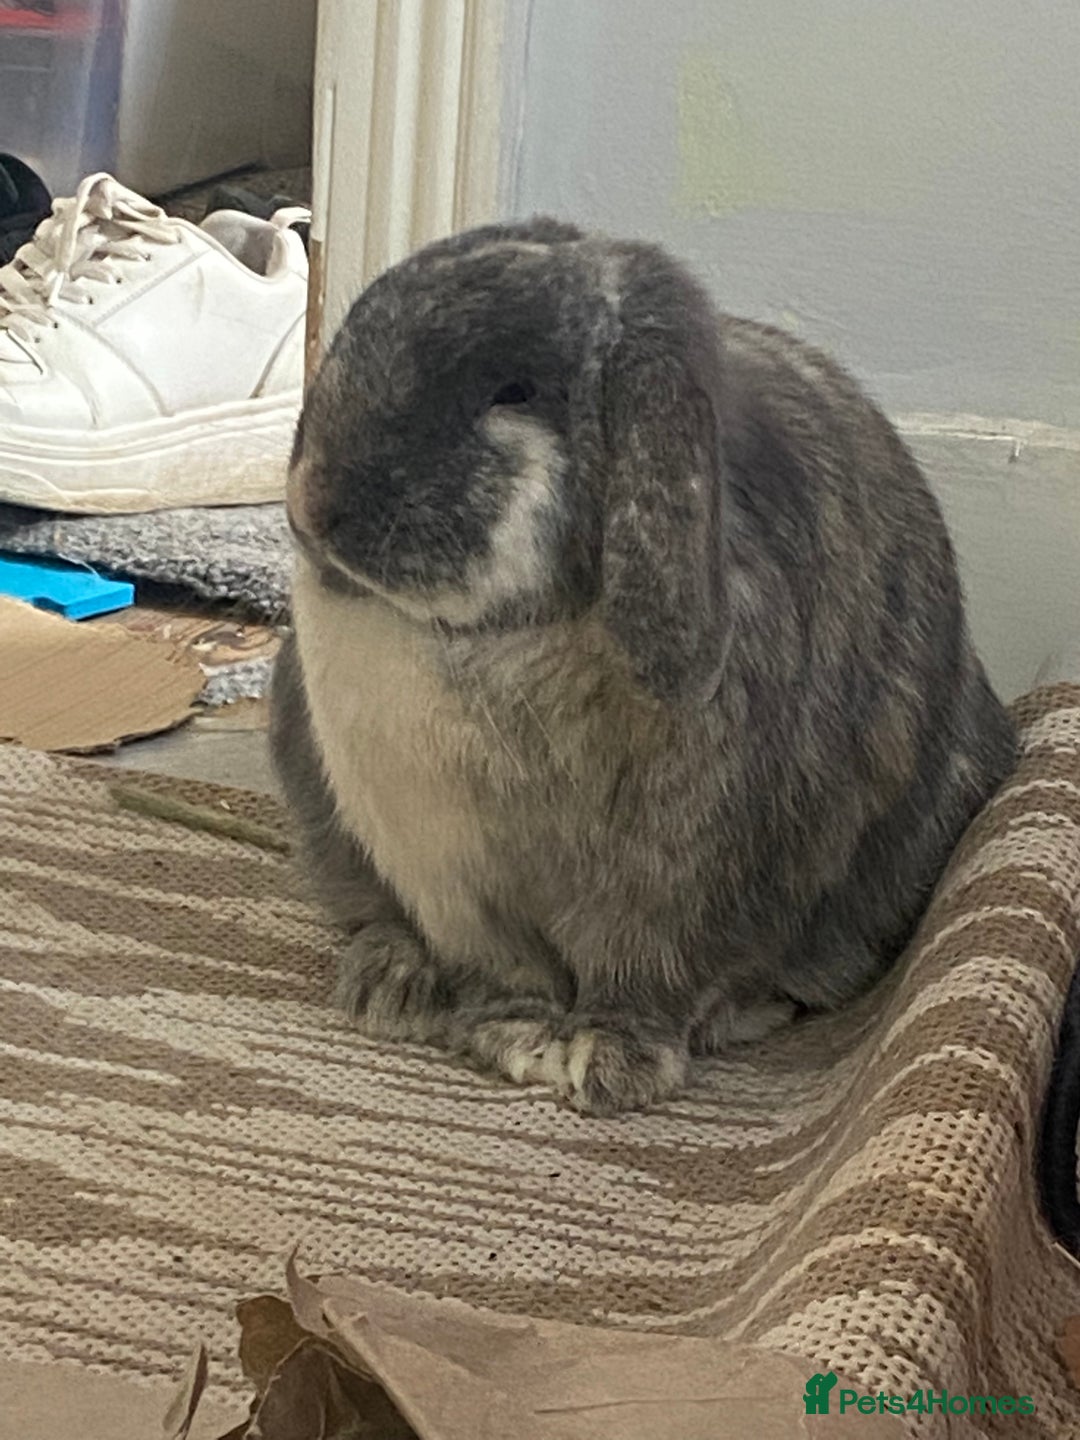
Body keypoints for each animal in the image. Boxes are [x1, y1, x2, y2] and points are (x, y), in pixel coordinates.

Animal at [270, 216, 1016, 1116]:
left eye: (513, 391)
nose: (311, 502)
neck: (495, 641)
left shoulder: (675, 889)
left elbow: (649, 982)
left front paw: (614, 1066)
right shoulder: (451, 879)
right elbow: (505, 977)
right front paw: (513, 1037)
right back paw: (392, 982)